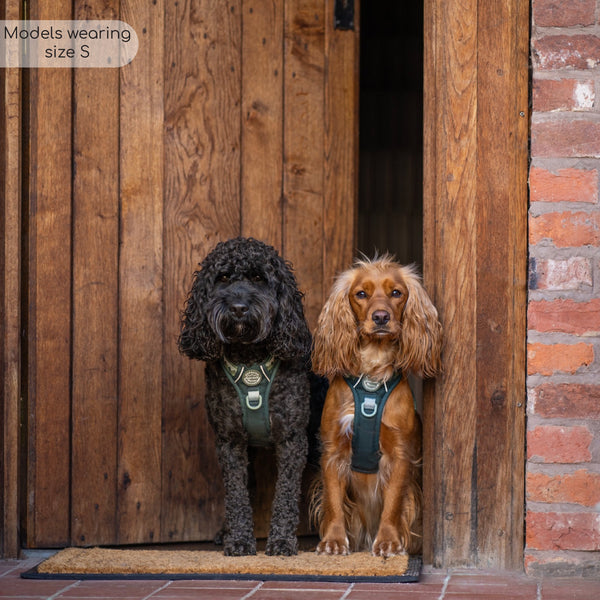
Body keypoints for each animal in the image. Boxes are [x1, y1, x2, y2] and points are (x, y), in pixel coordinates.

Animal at [178, 237, 312, 556]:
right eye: (224, 277)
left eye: (259, 278)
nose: (238, 308)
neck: (249, 358)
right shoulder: (230, 440)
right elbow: (236, 494)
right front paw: (239, 539)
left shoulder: (292, 439)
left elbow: (286, 492)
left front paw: (282, 541)